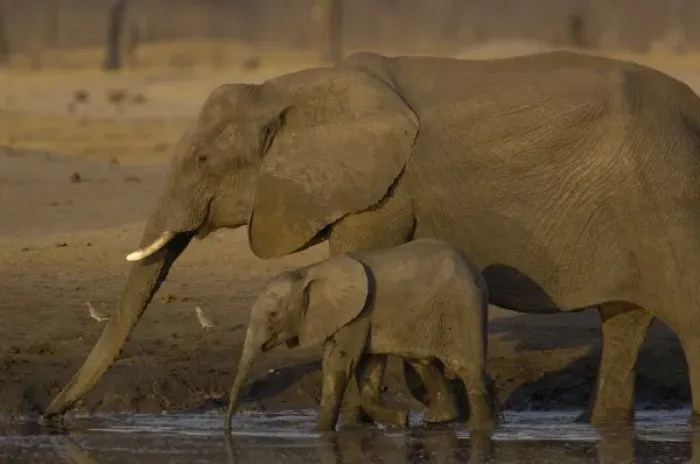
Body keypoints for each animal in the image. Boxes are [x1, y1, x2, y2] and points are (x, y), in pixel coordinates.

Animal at [225, 238, 494, 432]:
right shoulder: (358, 316)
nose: (227, 429)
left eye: (272, 315)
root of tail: (476, 272)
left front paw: (319, 432)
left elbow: (339, 363)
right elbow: (368, 366)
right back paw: (440, 420)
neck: (309, 272)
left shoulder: (358, 312)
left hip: (461, 307)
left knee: (467, 370)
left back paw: (479, 429)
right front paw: (400, 419)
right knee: (423, 363)